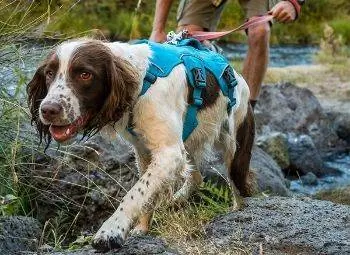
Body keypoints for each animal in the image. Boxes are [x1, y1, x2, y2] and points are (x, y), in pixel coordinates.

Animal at [27, 37, 256, 251]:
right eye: (49, 73)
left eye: (85, 74)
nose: (48, 110)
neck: (142, 82)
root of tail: (238, 76)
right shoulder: (145, 151)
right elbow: (146, 193)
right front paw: (142, 229)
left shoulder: (168, 152)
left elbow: (134, 194)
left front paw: (111, 230)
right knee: (197, 176)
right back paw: (176, 200)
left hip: (234, 147)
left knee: (239, 187)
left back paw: (238, 212)